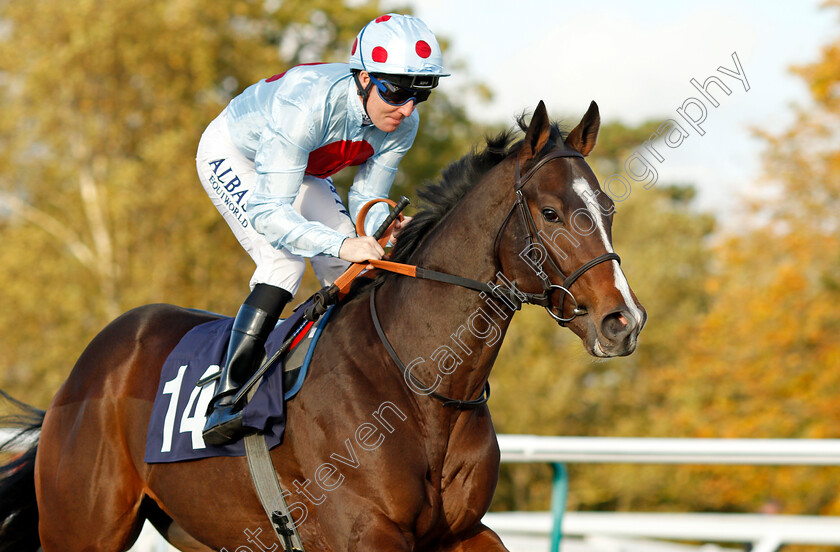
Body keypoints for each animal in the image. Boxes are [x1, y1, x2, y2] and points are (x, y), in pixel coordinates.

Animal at [0, 101, 648, 548]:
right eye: (551, 212)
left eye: (608, 207)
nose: (624, 320)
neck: (420, 386)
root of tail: (84, 372)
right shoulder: (365, 533)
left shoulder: (462, 532)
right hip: (83, 527)